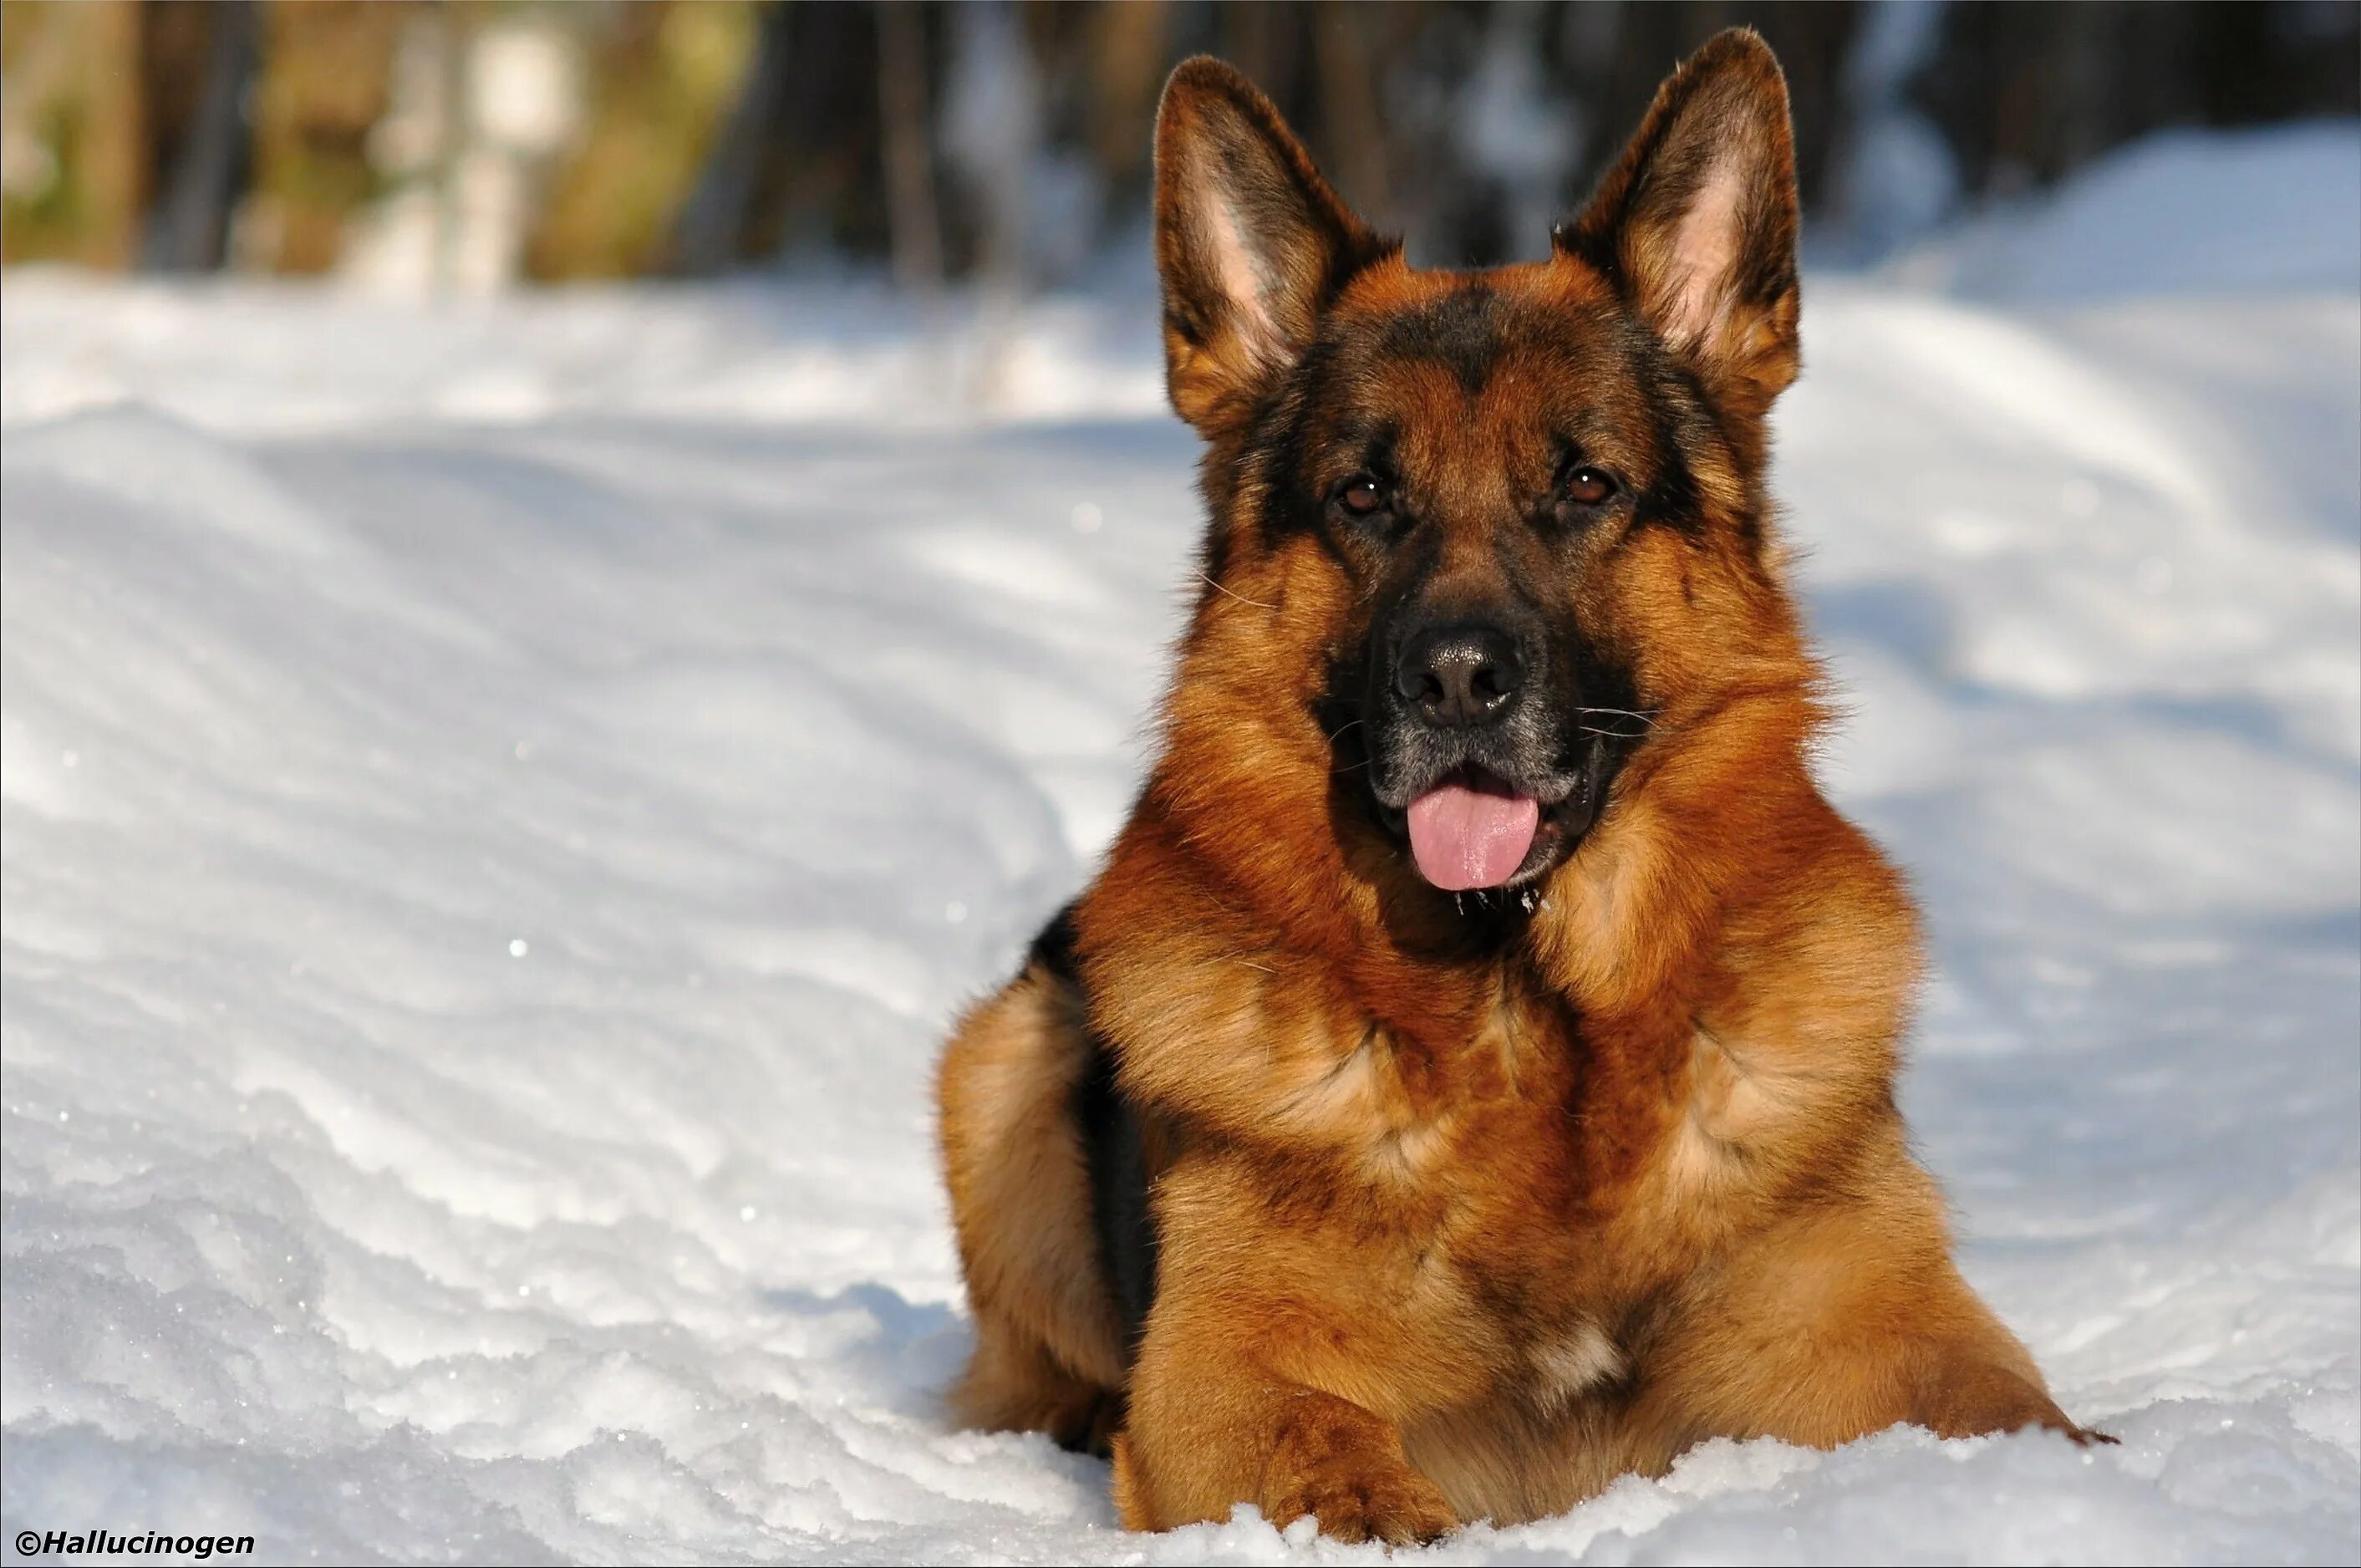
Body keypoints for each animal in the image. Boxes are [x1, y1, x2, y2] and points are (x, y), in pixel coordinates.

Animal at [930, 24, 2096, 1540]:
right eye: (1366, 497)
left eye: (1586, 485)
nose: (1456, 681)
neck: (1536, 1016)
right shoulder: (1221, 1380)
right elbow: (1350, 1482)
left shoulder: (1891, 1327)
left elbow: (2035, 1423)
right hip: (1001, 1061)